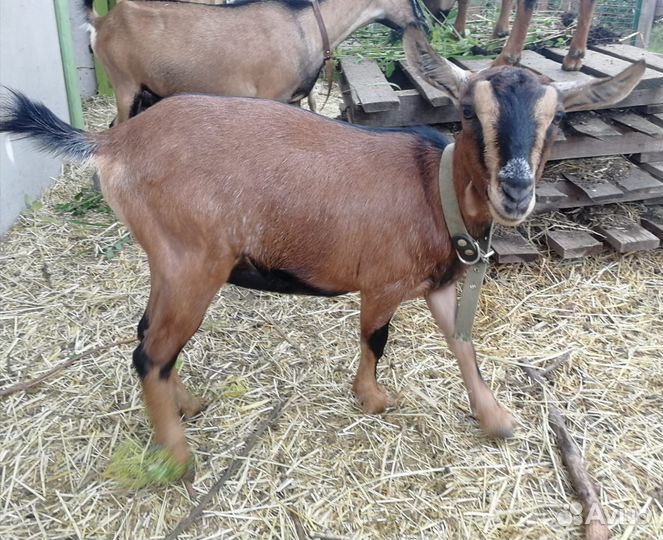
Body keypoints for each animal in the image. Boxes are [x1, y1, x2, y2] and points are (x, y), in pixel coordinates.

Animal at [0, 26, 643, 475]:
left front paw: (497, 420)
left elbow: (463, 344)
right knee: (151, 352)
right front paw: (373, 399)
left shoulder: (438, 285)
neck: (430, 190)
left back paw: (188, 408)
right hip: (192, 261)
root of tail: (114, 143)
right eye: (466, 112)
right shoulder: (383, 282)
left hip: (170, 263)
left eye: (556, 119)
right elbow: (376, 340)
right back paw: (179, 460)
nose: (515, 190)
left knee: (146, 335)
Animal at [83, 0, 425, 122]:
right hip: (125, 85)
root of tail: (102, 23)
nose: (426, 23)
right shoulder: (270, 95)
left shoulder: (293, 99)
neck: (307, 26)